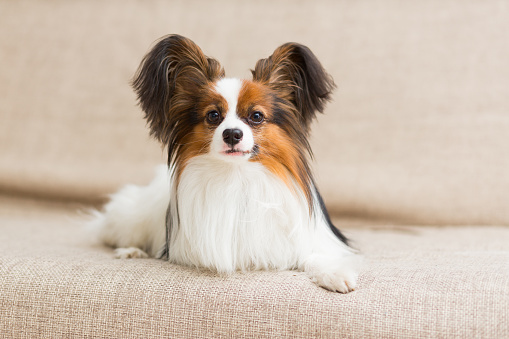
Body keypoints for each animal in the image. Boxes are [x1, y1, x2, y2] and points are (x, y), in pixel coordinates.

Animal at [93, 35, 360, 294]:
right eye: (213, 116)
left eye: (256, 116)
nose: (232, 134)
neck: (237, 176)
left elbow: (315, 255)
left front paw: (335, 274)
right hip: (132, 219)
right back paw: (131, 250)